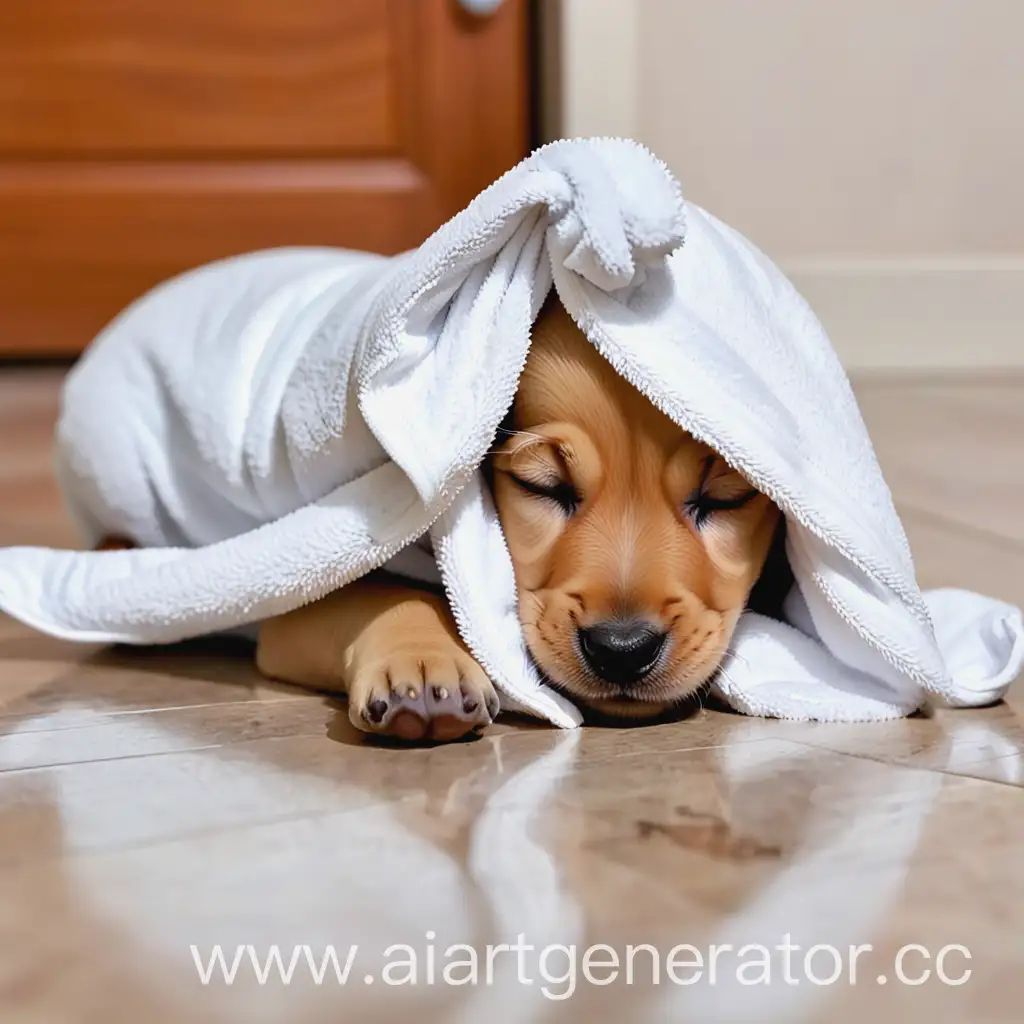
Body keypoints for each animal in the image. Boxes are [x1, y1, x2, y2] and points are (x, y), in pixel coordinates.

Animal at [253, 299, 782, 741]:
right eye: (544, 487)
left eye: (722, 499)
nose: (622, 648)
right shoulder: (294, 599)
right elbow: (380, 591)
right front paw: (423, 665)